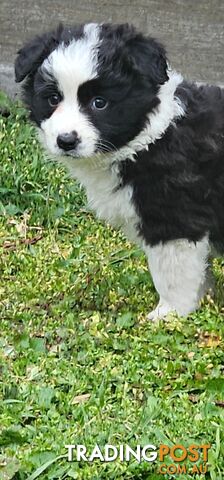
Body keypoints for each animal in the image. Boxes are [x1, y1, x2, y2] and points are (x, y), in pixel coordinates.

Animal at [14, 24, 224, 320]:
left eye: (99, 103)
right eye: (53, 99)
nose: (66, 140)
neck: (148, 140)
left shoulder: (174, 221)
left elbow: (173, 275)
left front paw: (168, 315)